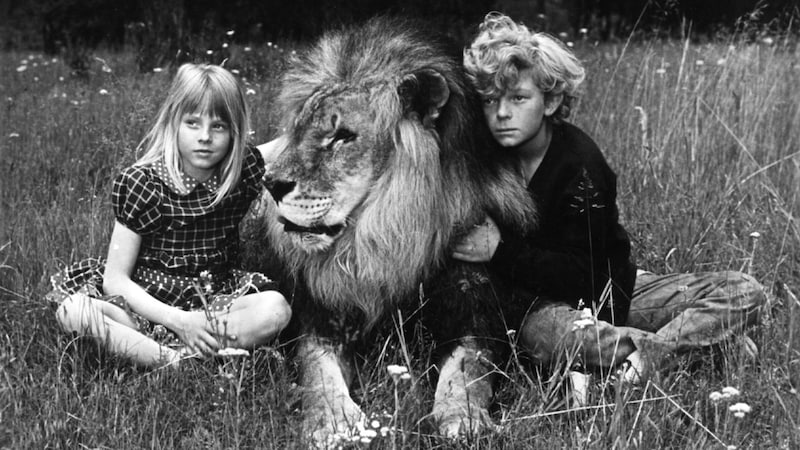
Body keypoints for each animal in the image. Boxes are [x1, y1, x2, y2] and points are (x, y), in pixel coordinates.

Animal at [247, 15, 536, 444]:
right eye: (298, 131)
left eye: (342, 136)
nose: (271, 183)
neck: (382, 238)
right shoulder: (321, 314)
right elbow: (317, 372)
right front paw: (333, 422)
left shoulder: (477, 303)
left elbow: (469, 368)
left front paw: (463, 418)